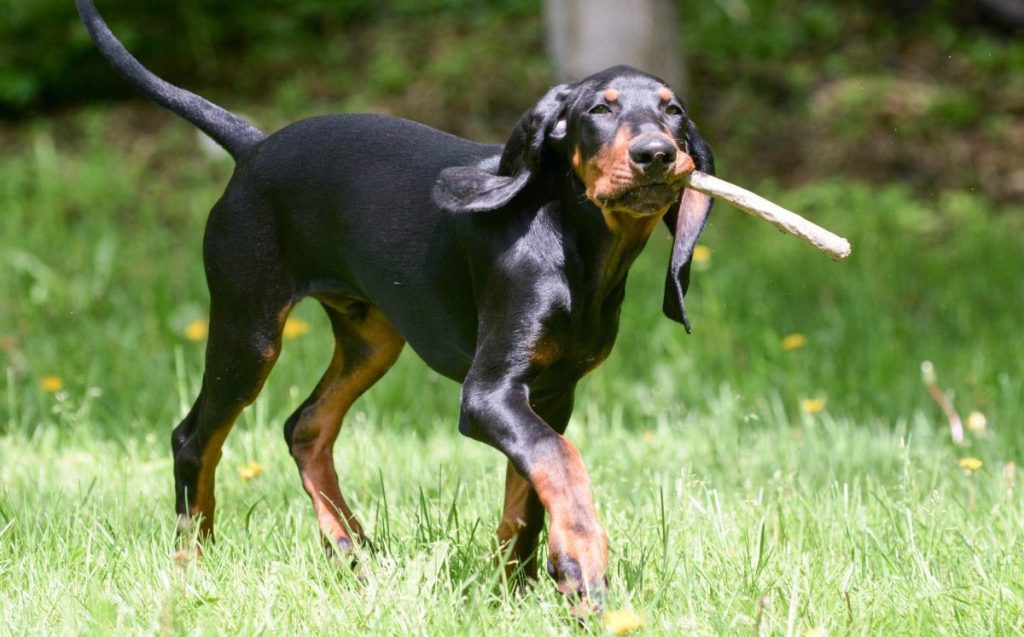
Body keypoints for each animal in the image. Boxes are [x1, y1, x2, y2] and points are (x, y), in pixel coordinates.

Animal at [79, 0, 712, 610]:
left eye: (674, 111)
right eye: (599, 110)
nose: (657, 154)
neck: (574, 243)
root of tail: (254, 147)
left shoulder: (551, 395)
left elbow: (527, 497)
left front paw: (521, 588)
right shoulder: (490, 394)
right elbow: (560, 461)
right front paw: (584, 562)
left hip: (372, 339)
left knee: (305, 426)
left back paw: (350, 547)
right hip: (248, 330)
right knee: (193, 438)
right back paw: (194, 564)